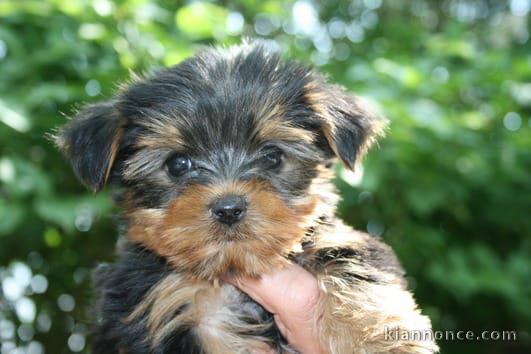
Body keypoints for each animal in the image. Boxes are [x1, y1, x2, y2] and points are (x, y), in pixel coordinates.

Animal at [54, 42, 438, 354]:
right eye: (178, 164)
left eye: (272, 157)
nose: (229, 208)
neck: (229, 272)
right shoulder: (162, 305)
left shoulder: (333, 236)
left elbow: (352, 258)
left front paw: (376, 338)